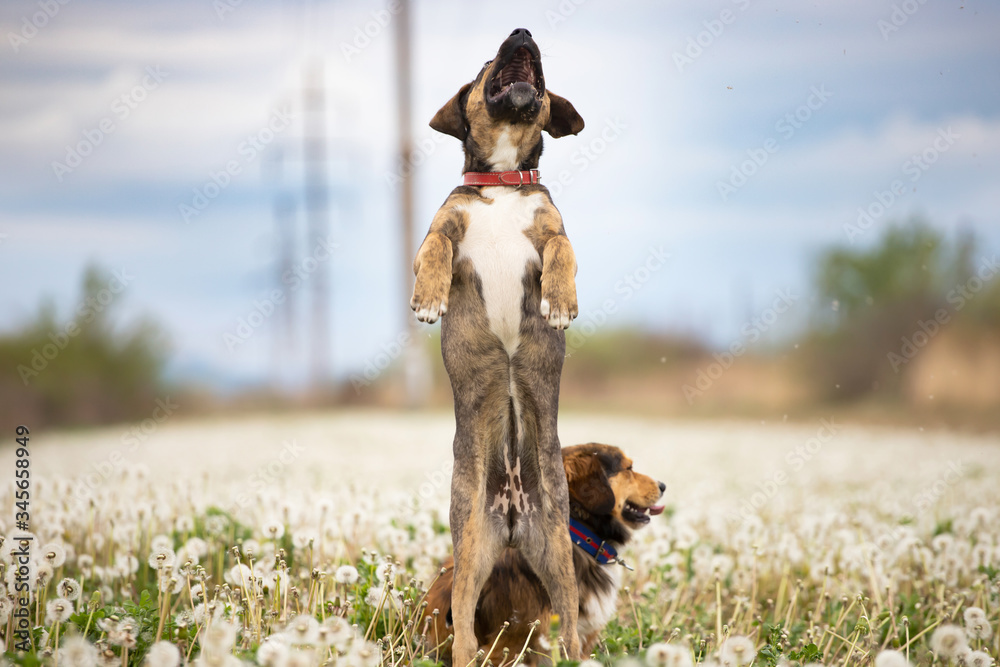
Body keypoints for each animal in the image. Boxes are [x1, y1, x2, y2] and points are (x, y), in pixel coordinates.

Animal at [410, 27, 584, 667]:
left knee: (572, 626)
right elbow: (433, 246)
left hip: (557, 555)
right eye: (489, 60)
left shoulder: (553, 230)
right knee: (462, 625)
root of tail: (510, 516)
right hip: (469, 552)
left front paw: (559, 302)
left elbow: (562, 252)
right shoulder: (442, 228)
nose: (522, 31)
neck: (506, 184)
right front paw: (428, 298)